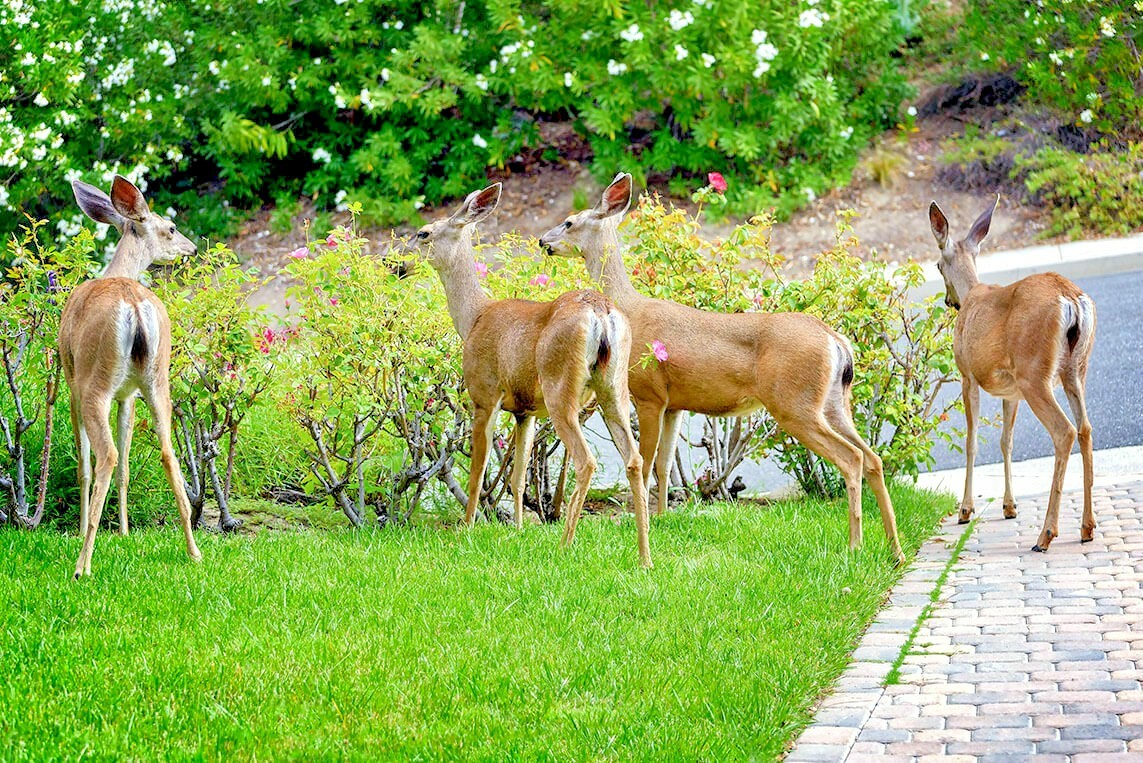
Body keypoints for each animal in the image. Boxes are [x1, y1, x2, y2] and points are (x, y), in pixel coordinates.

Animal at [61, 175, 202, 578]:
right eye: (171, 228)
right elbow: (126, 463)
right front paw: (124, 531)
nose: (191, 247)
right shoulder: (128, 394)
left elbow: (85, 463)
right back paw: (194, 550)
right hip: (157, 380)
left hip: (94, 382)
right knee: (167, 453)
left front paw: (81, 530)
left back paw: (82, 564)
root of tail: (136, 306)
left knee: (105, 456)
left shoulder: (71, 380)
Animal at [406, 183, 652, 568]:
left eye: (424, 233)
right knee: (635, 459)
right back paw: (644, 557)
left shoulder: (484, 393)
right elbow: (519, 475)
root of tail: (601, 310)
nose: (396, 263)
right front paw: (519, 530)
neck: (473, 319)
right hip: (613, 388)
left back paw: (565, 546)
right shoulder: (525, 411)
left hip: (560, 387)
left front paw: (466, 530)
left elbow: (477, 472)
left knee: (586, 460)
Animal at [540, 173, 905, 565]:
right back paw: (895, 550)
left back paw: (855, 546)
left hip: (795, 403)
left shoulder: (649, 393)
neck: (630, 308)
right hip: (834, 401)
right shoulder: (675, 404)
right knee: (873, 457)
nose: (544, 241)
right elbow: (665, 463)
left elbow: (648, 460)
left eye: (569, 222)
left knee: (851, 458)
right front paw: (663, 518)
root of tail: (835, 340)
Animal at [929, 196, 1096, 551]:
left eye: (937, 266)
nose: (950, 302)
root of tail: (1071, 299)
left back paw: (1045, 535)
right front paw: (1009, 506)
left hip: (1035, 373)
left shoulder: (967, 376)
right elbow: (1007, 441)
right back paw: (1087, 528)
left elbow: (972, 441)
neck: (973, 293)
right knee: (1085, 428)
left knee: (1064, 431)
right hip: (1075, 370)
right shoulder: (1010, 391)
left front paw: (965, 510)